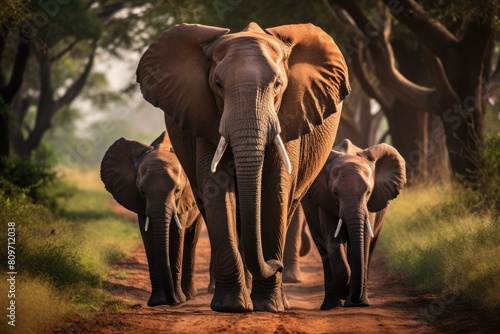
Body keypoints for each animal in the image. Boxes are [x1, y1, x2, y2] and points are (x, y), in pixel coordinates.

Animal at [100, 131, 204, 308]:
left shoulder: (183, 199)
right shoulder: (138, 200)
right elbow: (148, 236)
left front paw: (178, 300)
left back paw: (189, 295)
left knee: (192, 238)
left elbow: (177, 234)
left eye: (177, 190)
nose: (171, 301)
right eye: (142, 191)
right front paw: (158, 301)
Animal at [135, 22, 350, 314]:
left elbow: (275, 189)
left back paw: (278, 300)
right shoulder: (205, 117)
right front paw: (231, 307)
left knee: (289, 206)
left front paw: (268, 307)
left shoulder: (291, 116)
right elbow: (215, 187)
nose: (276, 265)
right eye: (218, 85)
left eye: (278, 85)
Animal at [300, 139, 406, 310]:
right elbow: (332, 239)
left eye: (368, 192)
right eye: (335, 193)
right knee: (323, 248)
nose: (348, 291)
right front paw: (344, 290)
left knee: (370, 247)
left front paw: (355, 300)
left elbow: (364, 240)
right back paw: (331, 305)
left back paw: (358, 302)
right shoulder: (325, 199)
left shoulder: (370, 204)